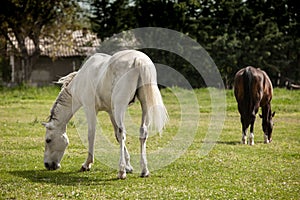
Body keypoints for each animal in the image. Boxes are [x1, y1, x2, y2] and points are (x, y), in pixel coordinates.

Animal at [42, 49, 169, 178]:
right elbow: (117, 136)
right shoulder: (111, 112)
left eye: (48, 140)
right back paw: (144, 170)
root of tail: (138, 60)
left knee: (122, 131)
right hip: (144, 105)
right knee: (142, 131)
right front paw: (128, 166)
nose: (47, 165)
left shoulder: (90, 109)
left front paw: (87, 164)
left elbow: (92, 135)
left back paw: (121, 171)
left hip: (120, 106)